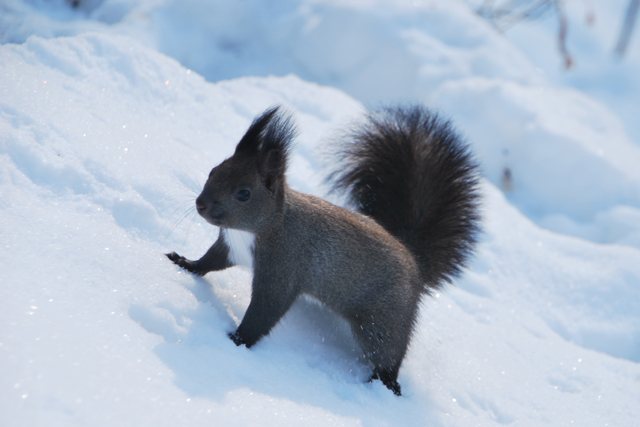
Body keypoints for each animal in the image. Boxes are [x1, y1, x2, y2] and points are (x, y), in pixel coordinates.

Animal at [168, 104, 478, 398]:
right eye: (214, 170)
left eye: (244, 193)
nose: (201, 204)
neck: (260, 227)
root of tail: (414, 262)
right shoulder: (230, 247)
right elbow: (209, 261)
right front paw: (184, 263)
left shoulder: (283, 265)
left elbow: (265, 310)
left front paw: (238, 339)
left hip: (385, 316)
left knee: (388, 351)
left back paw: (386, 384)